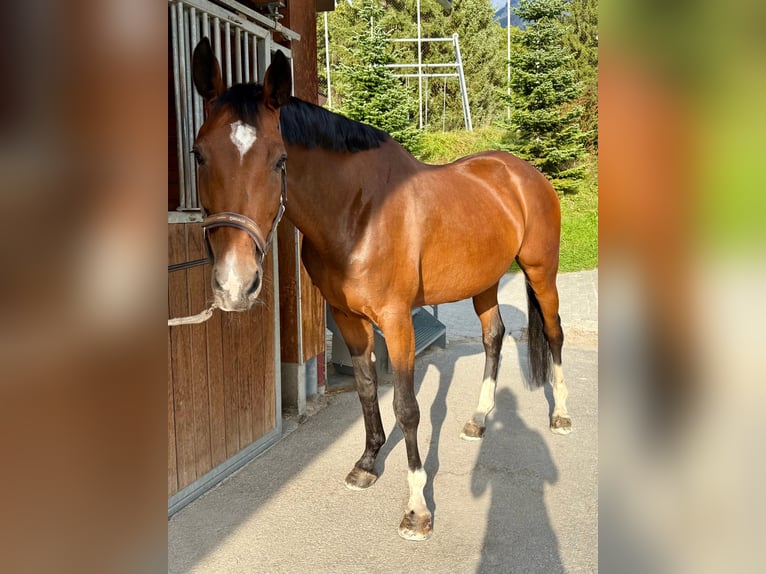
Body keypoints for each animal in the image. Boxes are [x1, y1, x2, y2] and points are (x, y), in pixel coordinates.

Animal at [190, 38, 569, 541]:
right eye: (198, 154)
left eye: (280, 160)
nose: (236, 283)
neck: (359, 212)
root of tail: (523, 173)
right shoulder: (347, 317)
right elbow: (368, 387)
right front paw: (368, 463)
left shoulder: (396, 318)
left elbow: (407, 407)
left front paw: (417, 510)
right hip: (485, 282)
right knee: (494, 336)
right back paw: (478, 419)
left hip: (541, 271)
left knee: (555, 332)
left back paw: (561, 415)